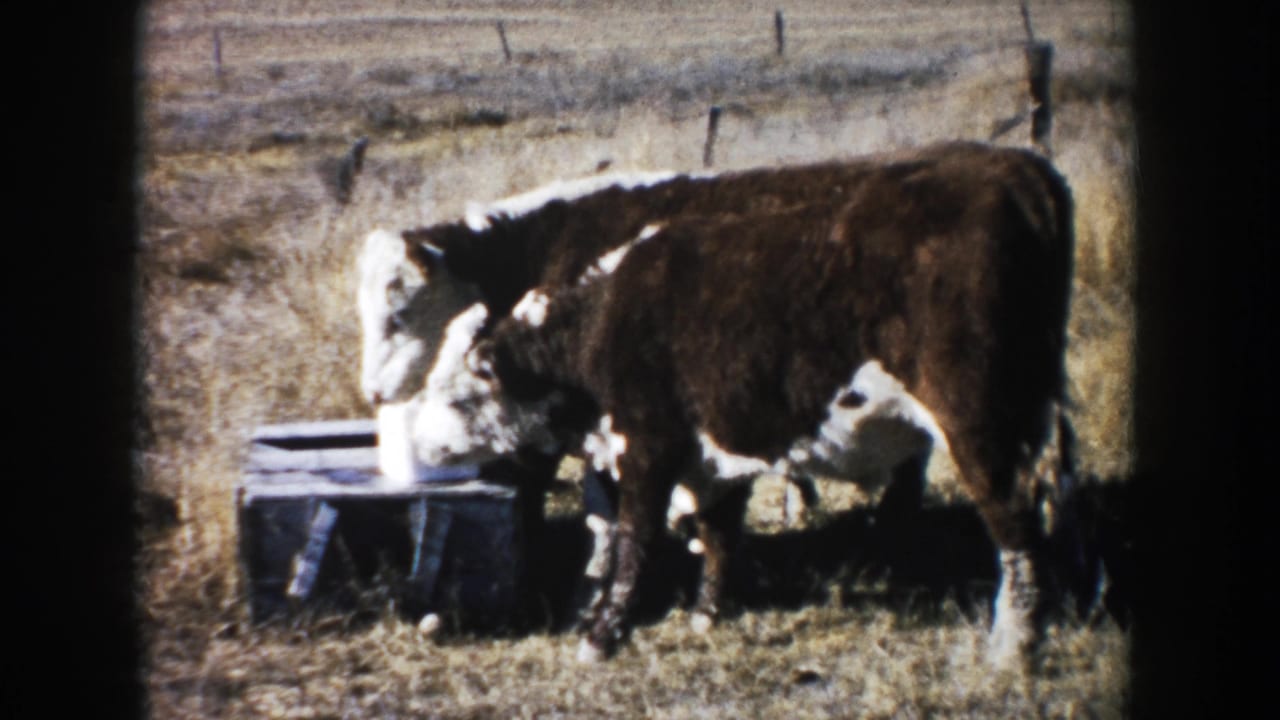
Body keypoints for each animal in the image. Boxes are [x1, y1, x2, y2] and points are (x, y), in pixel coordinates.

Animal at [402, 140, 1078, 669]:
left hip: (981, 425)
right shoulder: (711, 456)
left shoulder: (647, 446)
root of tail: (1022, 172)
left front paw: (602, 634)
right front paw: (706, 613)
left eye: (457, 394)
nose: (413, 441)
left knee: (1015, 526)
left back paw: (1012, 648)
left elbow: (633, 540)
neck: (606, 317)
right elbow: (718, 532)